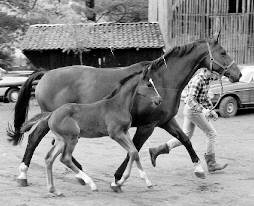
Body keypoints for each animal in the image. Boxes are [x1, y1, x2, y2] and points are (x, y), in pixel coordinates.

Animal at [21, 67, 161, 195]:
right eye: (149, 85)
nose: (159, 100)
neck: (118, 105)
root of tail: (52, 114)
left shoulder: (125, 132)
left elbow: (134, 152)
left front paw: (146, 182)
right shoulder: (116, 134)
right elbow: (133, 152)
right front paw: (118, 183)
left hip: (62, 140)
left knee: (49, 158)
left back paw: (53, 189)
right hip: (72, 137)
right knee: (65, 158)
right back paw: (90, 183)